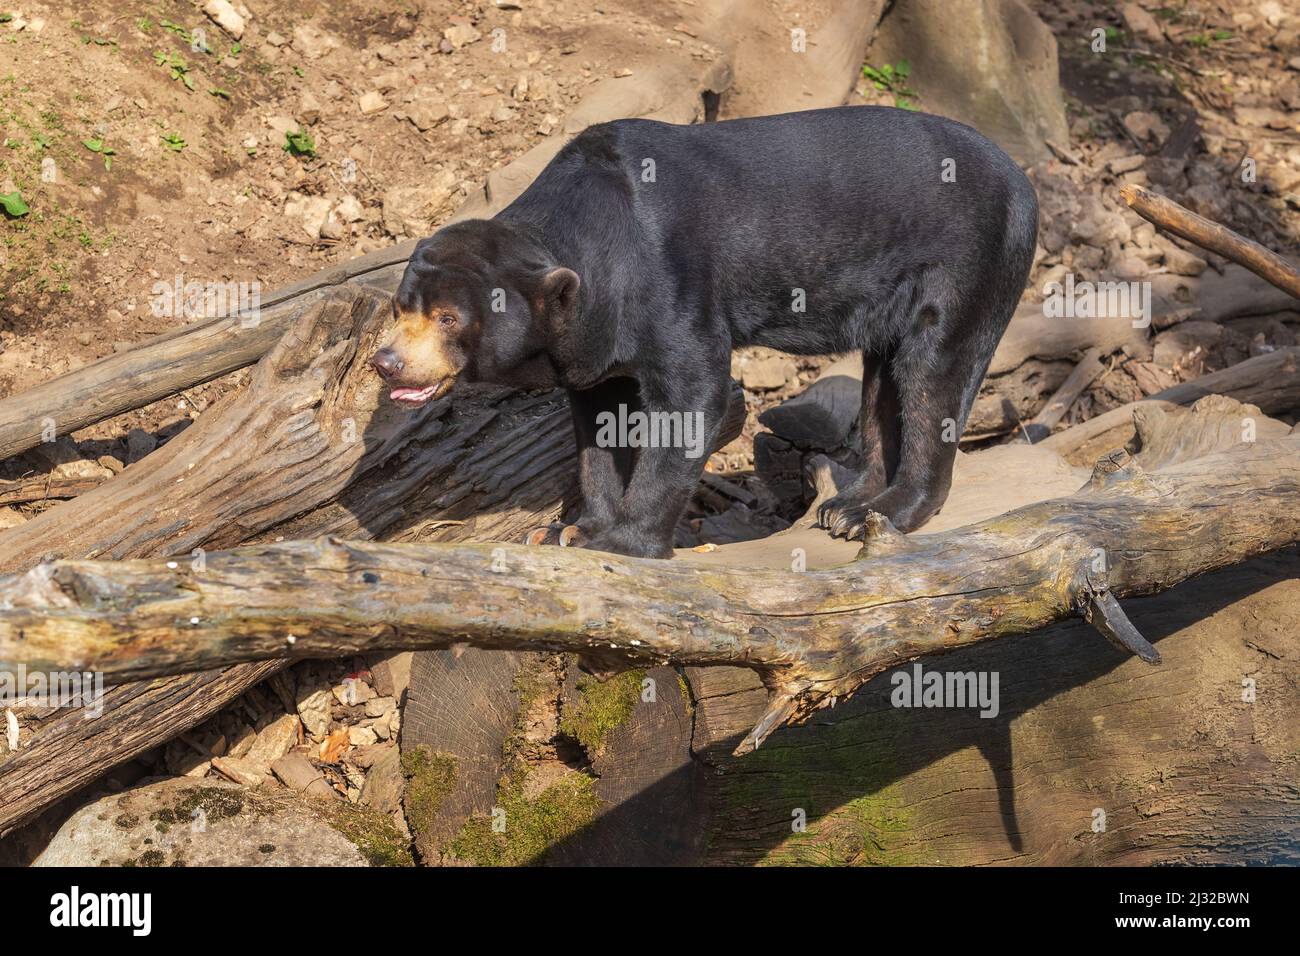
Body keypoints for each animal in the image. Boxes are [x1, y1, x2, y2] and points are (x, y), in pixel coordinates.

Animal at [370, 105, 1039, 558]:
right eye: (401, 308)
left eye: (450, 318)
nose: (388, 363)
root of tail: (1024, 182)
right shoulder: (594, 338)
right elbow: (599, 422)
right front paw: (570, 527)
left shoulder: (669, 281)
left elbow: (691, 397)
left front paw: (620, 541)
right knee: (885, 383)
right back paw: (850, 505)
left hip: (961, 266)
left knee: (932, 372)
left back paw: (888, 511)